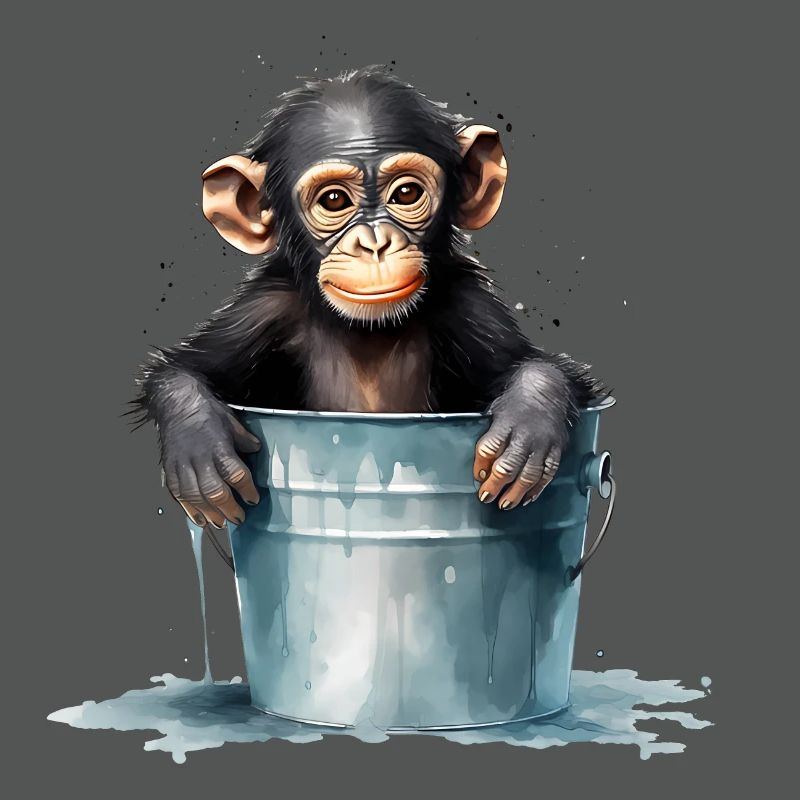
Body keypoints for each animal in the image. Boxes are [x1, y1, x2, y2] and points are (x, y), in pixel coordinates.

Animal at [132, 67, 607, 531]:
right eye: (334, 200)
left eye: (406, 194)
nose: (375, 244)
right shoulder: (263, 310)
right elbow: (186, 369)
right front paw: (197, 445)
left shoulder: (471, 308)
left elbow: (536, 365)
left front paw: (528, 421)